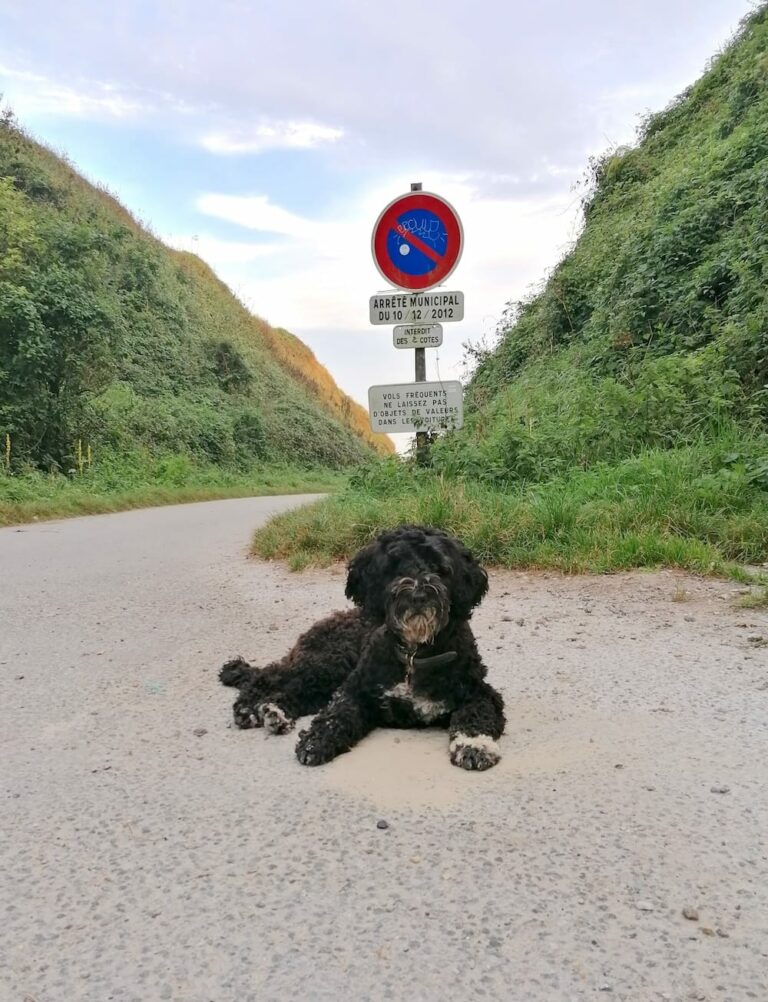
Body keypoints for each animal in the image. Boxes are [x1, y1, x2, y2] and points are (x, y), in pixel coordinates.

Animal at [218, 529, 505, 769]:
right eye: (395, 566)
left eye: (440, 567)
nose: (418, 595)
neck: (414, 654)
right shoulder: (356, 690)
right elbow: (337, 714)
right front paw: (317, 740)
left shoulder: (480, 692)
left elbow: (475, 716)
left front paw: (474, 746)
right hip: (327, 662)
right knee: (270, 675)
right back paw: (249, 707)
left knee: (298, 692)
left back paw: (275, 712)